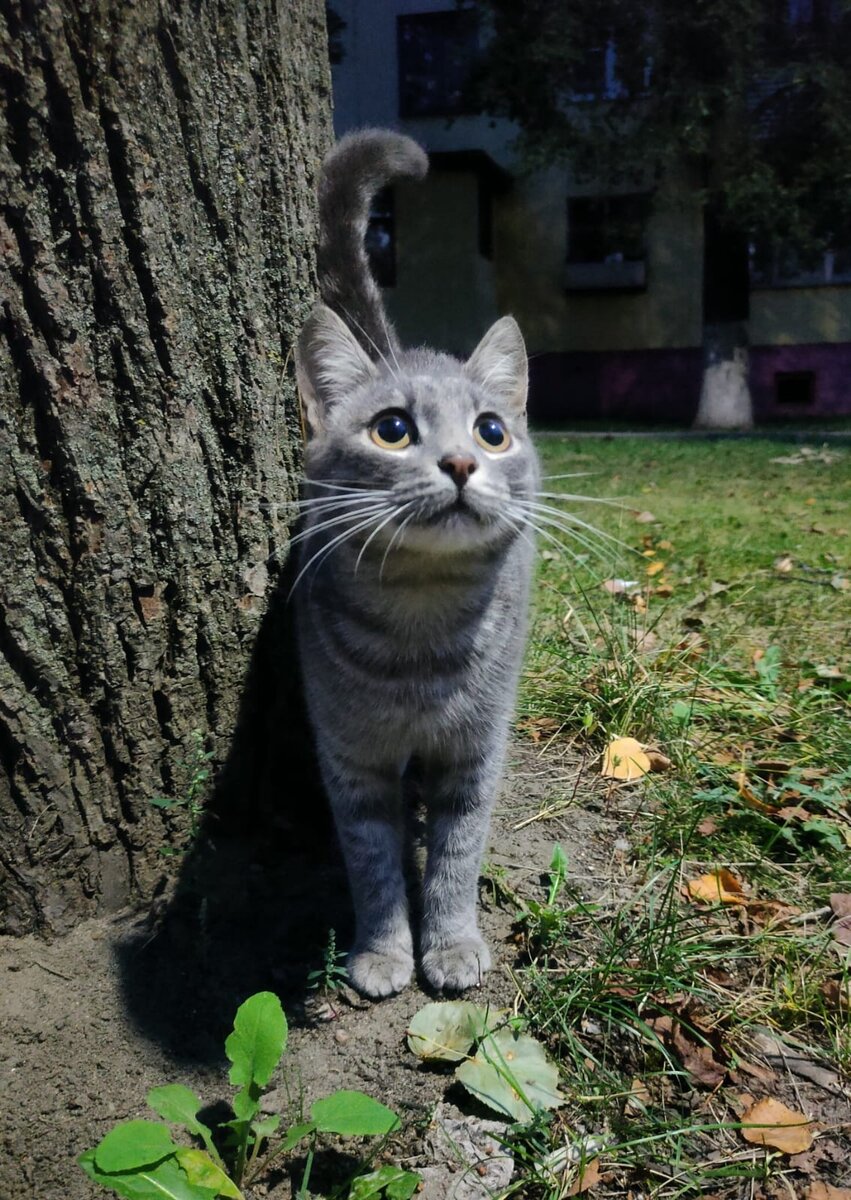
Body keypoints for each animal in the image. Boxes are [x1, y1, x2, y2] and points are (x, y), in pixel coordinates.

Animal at [291, 129, 537, 1003]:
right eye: (392, 429)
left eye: (492, 430)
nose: (462, 461)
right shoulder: (350, 757)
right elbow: (370, 863)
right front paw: (383, 949)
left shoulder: (474, 753)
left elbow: (457, 857)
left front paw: (452, 943)